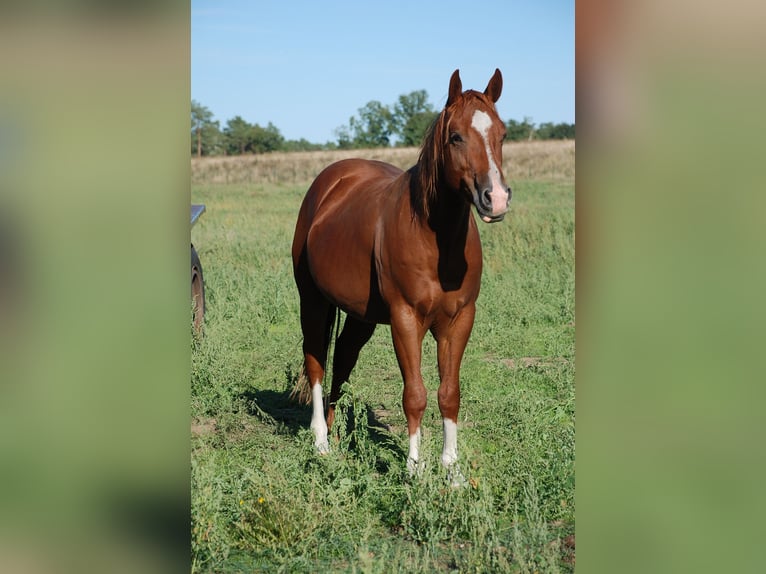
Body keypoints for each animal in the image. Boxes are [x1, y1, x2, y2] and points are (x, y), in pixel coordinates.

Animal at [291, 69, 511, 480]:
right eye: (456, 136)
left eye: (502, 134)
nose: (497, 199)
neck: (434, 236)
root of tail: (328, 183)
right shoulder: (405, 319)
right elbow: (415, 394)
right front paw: (413, 468)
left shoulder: (459, 320)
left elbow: (448, 393)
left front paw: (451, 469)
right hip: (312, 301)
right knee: (316, 361)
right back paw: (321, 441)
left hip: (360, 316)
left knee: (342, 360)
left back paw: (336, 432)